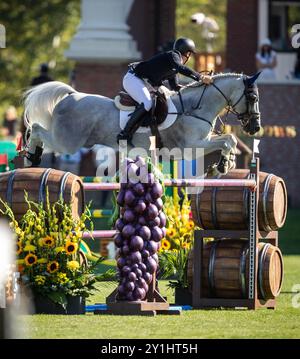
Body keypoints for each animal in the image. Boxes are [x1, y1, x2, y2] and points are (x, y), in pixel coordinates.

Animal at [22, 71, 260, 175]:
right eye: (253, 97)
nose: (255, 128)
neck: (195, 108)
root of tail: (71, 96)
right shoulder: (192, 147)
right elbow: (228, 140)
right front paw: (222, 165)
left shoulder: (204, 141)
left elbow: (230, 139)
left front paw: (226, 164)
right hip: (67, 143)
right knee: (37, 130)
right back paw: (30, 157)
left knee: (38, 131)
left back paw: (32, 157)